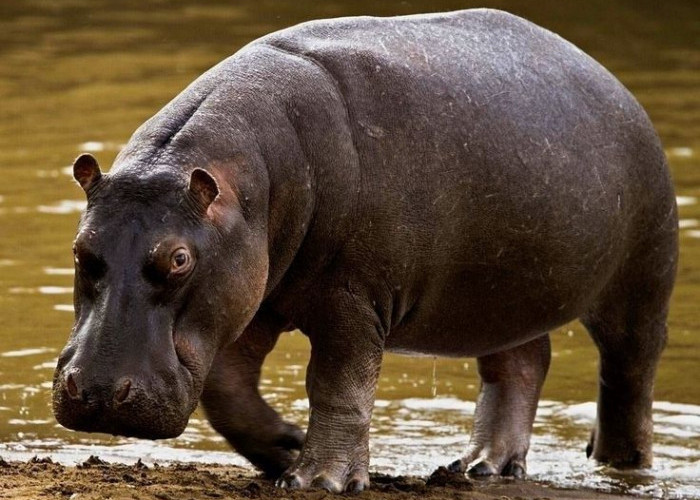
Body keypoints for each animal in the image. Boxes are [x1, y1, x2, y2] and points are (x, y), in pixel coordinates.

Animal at [53, 8, 678, 493]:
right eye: (81, 249)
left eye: (179, 259)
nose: (99, 392)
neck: (248, 183)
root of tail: (613, 83)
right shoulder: (251, 297)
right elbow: (226, 391)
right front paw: (287, 446)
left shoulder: (353, 299)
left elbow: (338, 385)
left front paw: (319, 480)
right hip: (503, 295)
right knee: (521, 364)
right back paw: (483, 467)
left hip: (641, 280)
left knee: (629, 376)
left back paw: (620, 466)